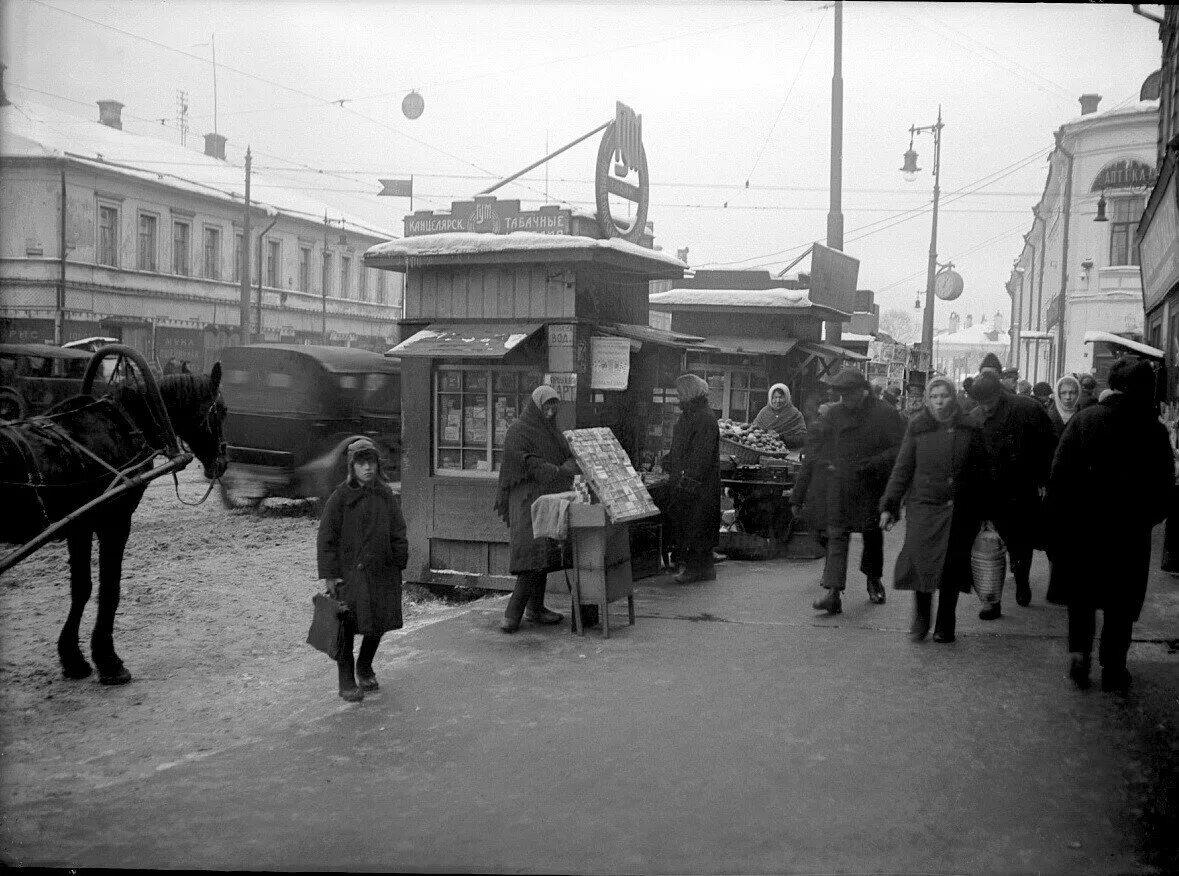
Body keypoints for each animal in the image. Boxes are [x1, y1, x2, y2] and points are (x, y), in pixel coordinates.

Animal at [0, 356, 227, 683]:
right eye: (222, 410)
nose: (222, 462)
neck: (123, 425)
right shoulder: (115, 522)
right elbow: (110, 587)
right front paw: (108, 660)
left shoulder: (79, 526)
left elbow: (81, 587)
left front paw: (73, 658)